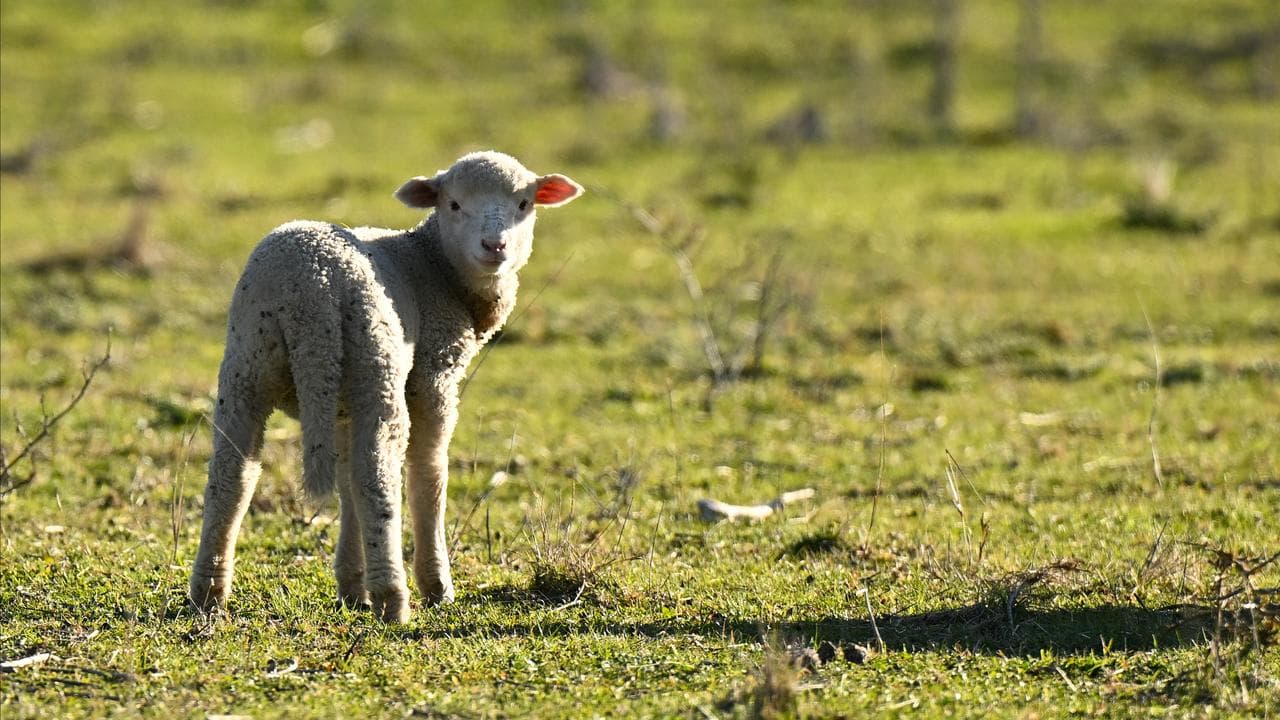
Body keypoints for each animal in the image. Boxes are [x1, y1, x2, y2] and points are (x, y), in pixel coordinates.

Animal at [189, 151, 582, 622]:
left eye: (524, 204)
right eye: (453, 205)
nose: (495, 246)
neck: (431, 264)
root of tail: (310, 290)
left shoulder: (342, 405)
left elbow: (344, 482)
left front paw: (350, 586)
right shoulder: (434, 375)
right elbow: (428, 475)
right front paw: (435, 586)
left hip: (251, 365)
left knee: (232, 474)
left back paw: (208, 592)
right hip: (376, 366)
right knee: (377, 477)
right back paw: (394, 598)